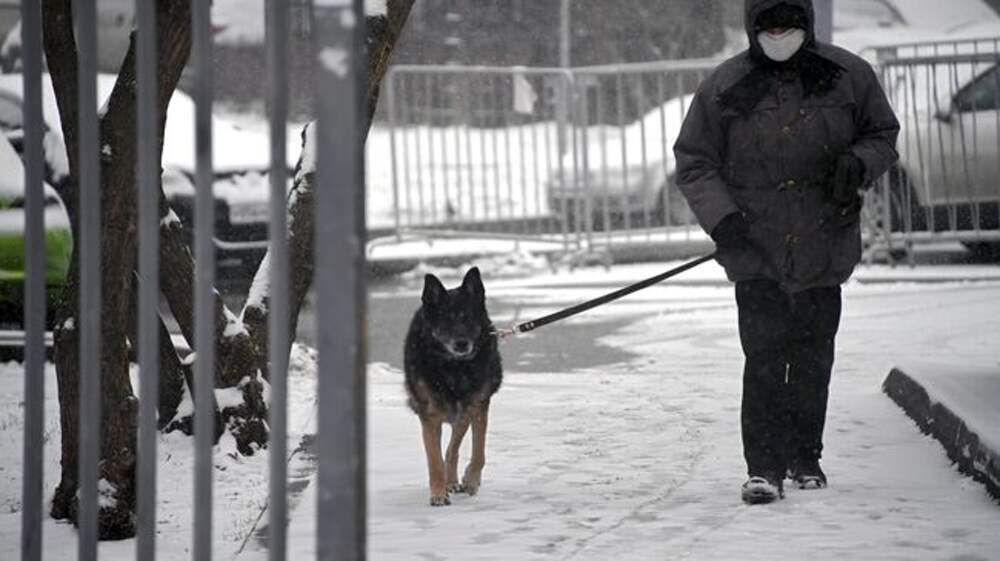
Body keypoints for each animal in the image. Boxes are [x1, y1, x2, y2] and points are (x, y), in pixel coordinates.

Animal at [404, 267, 502, 506]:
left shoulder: (478, 408)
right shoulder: (429, 417)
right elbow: (434, 460)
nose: (461, 344)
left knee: (452, 448)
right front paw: (438, 493)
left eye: (468, 319)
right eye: (446, 322)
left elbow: (478, 452)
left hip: (463, 414)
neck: (455, 368)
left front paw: (471, 480)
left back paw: (454, 481)